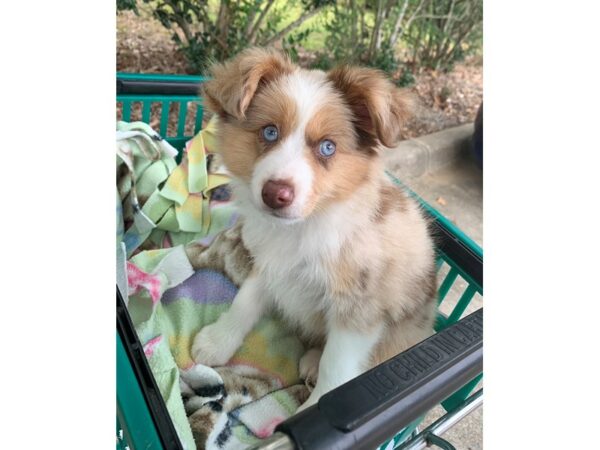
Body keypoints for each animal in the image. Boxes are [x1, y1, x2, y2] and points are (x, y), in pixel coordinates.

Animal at [192, 48, 436, 412]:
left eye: (327, 147)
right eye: (269, 132)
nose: (275, 194)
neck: (304, 228)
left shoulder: (359, 309)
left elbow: (337, 369)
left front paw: (315, 406)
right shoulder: (270, 263)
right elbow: (245, 301)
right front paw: (217, 342)